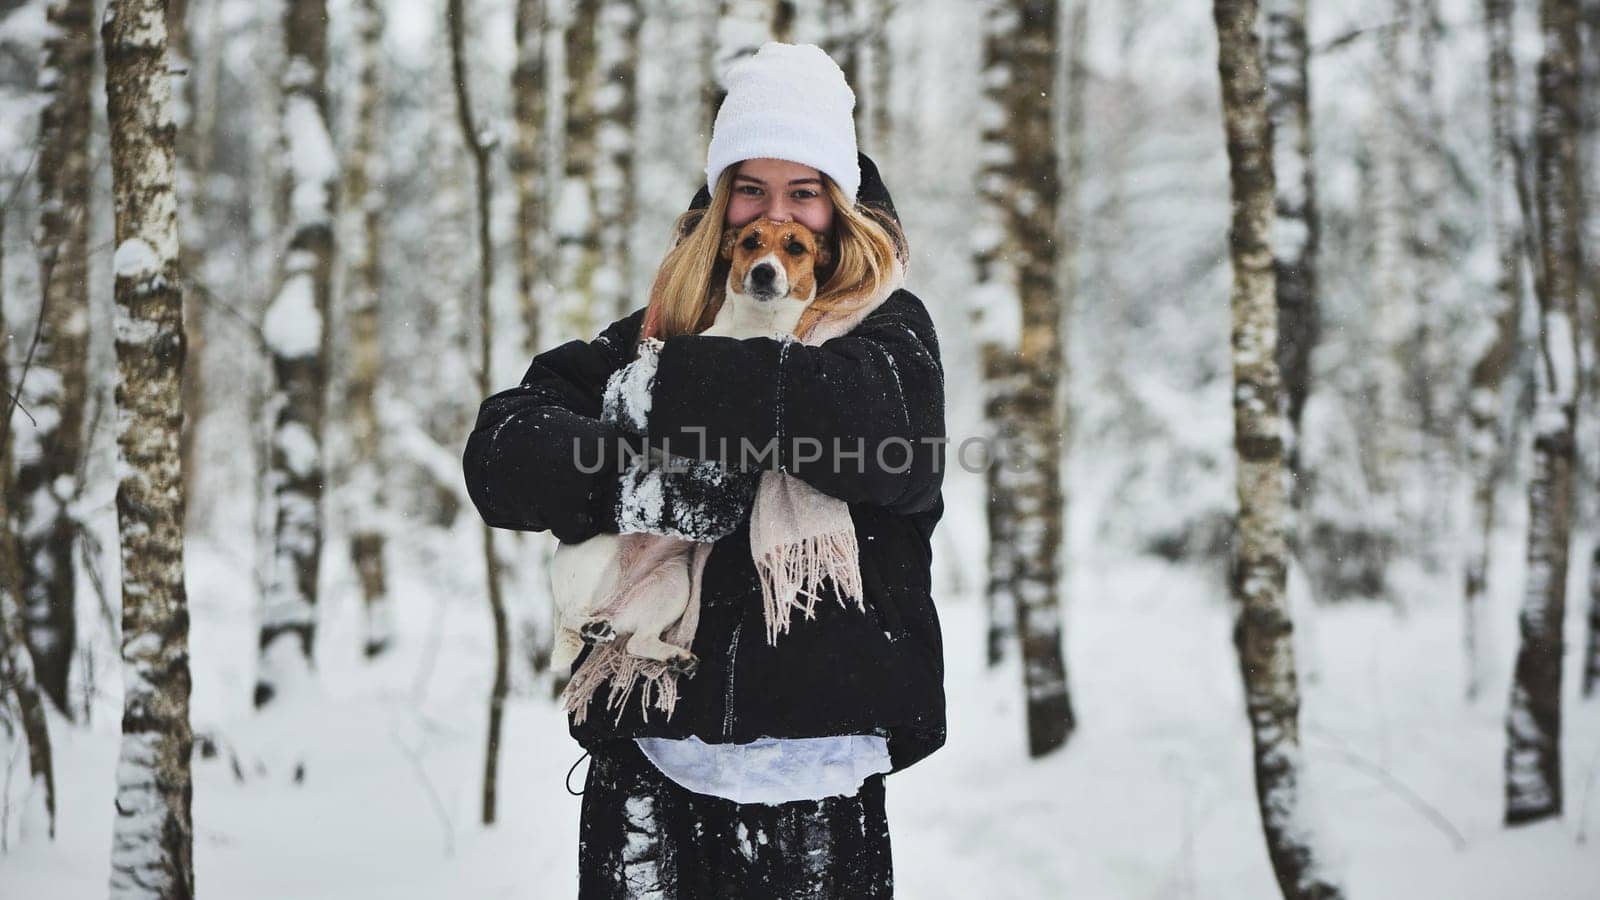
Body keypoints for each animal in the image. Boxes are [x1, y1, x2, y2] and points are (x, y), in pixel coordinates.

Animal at [550, 217, 832, 675]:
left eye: (796, 247)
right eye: (751, 241)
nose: (763, 272)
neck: (753, 327)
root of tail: (612, 605)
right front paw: (655, 350)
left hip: (671, 586)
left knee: (637, 641)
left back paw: (670, 654)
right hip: (594, 560)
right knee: (573, 615)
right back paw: (588, 624)